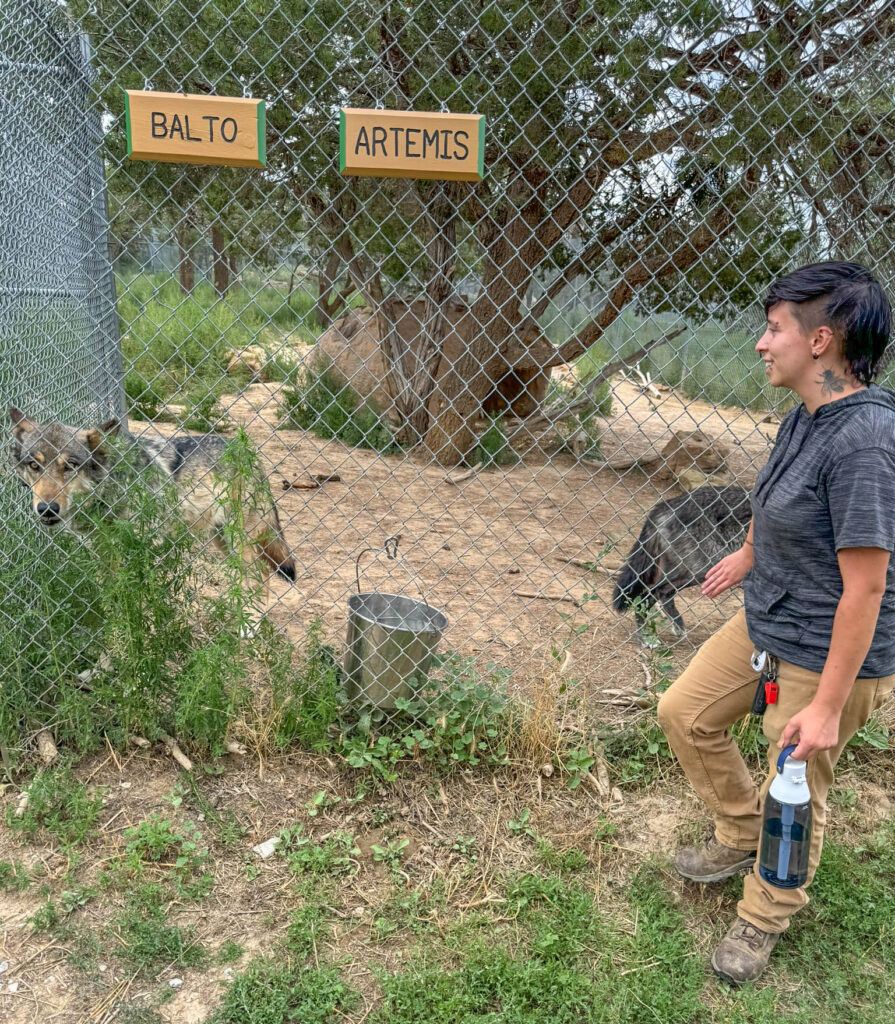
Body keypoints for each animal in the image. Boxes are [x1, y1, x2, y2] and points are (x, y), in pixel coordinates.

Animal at [8, 405, 294, 585]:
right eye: (34, 465)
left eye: (69, 466)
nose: (47, 509)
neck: (114, 491)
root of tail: (246, 450)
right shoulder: (106, 557)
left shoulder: (142, 552)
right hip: (220, 539)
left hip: (239, 539)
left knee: (259, 577)